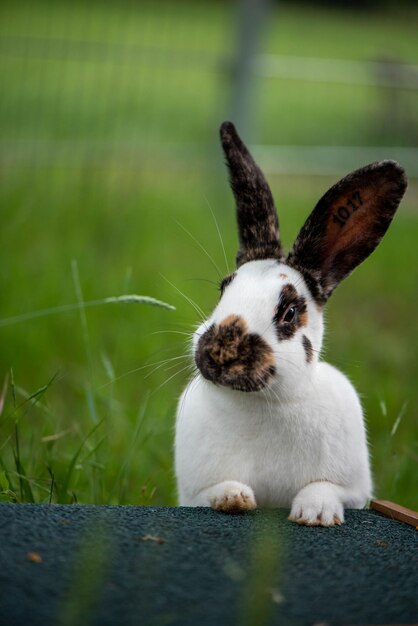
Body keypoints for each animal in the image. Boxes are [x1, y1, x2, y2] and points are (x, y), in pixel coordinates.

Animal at [175, 119, 406, 524]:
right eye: (223, 290)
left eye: (290, 312)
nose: (220, 353)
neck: (260, 404)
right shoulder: (192, 493)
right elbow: (213, 492)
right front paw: (234, 497)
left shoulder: (355, 489)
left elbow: (325, 488)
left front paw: (315, 513)